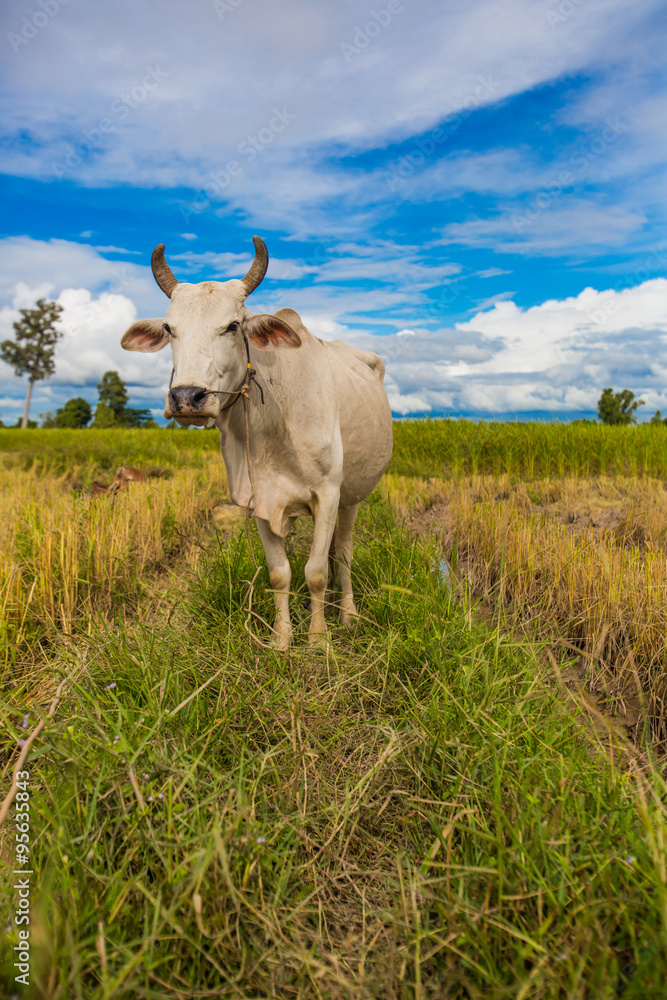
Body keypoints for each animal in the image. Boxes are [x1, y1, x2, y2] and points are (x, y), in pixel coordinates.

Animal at [121, 236, 393, 649]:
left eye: (233, 326)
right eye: (169, 328)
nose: (186, 397)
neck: (275, 426)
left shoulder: (329, 493)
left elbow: (315, 572)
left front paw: (318, 640)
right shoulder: (259, 496)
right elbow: (280, 573)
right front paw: (282, 639)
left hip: (353, 496)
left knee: (343, 553)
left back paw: (347, 614)